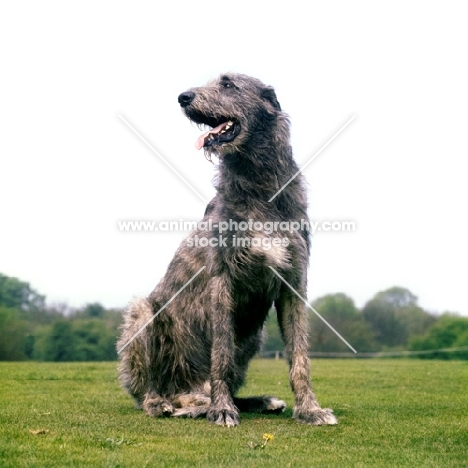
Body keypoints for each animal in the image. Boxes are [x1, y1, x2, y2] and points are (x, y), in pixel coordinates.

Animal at [116, 73, 336, 428]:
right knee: (149, 386)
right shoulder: (222, 279)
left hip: (254, 336)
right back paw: (164, 403)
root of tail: (187, 390)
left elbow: (300, 355)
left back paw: (252, 401)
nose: (183, 97)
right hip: (143, 314)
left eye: (229, 84)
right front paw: (222, 410)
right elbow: (220, 353)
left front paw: (310, 409)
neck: (259, 188)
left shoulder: (293, 282)